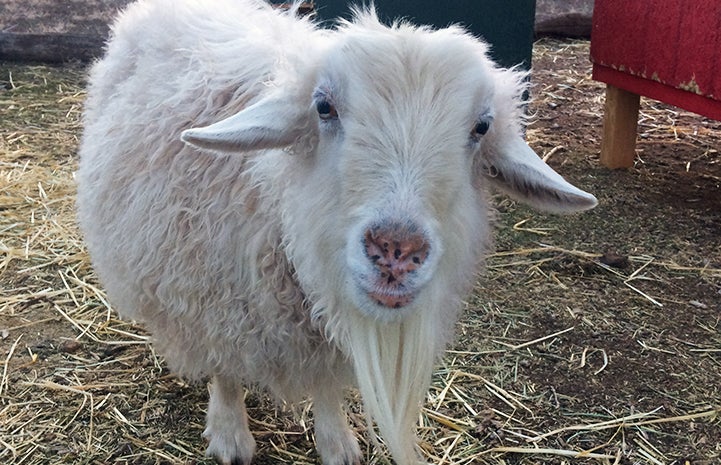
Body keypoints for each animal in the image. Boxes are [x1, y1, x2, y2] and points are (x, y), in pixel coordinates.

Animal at [77, 0, 596, 464]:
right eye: (323, 107)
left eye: (482, 126)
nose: (396, 249)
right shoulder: (213, 301)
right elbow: (226, 371)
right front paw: (229, 435)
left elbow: (326, 386)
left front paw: (337, 443)